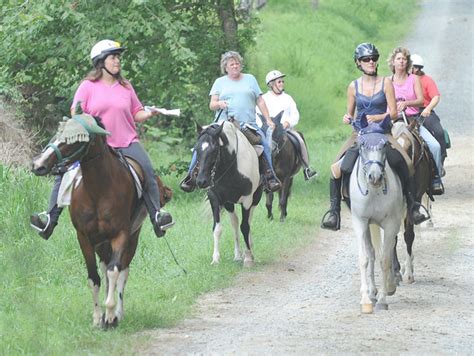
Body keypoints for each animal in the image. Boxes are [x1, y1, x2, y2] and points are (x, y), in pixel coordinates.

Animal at [30, 114, 170, 328]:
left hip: (132, 236)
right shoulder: (84, 237)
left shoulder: (121, 234)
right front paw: (98, 318)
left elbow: (115, 271)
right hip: (101, 243)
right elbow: (94, 277)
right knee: (105, 267)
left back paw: (117, 313)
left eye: (74, 139)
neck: (98, 189)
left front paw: (111, 315)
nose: (38, 165)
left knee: (122, 271)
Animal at [194, 120, 264, 268]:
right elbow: (217, 228)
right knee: (235, 222)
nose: (201, 181)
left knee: (248, 221)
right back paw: (237, 255)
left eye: (214, 150)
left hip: (256, 198)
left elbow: (245, 226)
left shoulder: (247, 200)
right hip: (229, 203)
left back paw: (249, 251)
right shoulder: (215, 198)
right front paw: (215, 259)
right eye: (196, 150)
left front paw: (248, 258)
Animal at [350, 130, 406, 312]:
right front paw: (366, 299)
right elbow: (364, 258)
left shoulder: (390, 224)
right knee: (372, 253)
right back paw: (372, 292)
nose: (374, 177)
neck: (374, 192)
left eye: (384, 146)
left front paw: (382, 299)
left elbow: (385, 259)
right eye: (362, 145)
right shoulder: (360, 221)